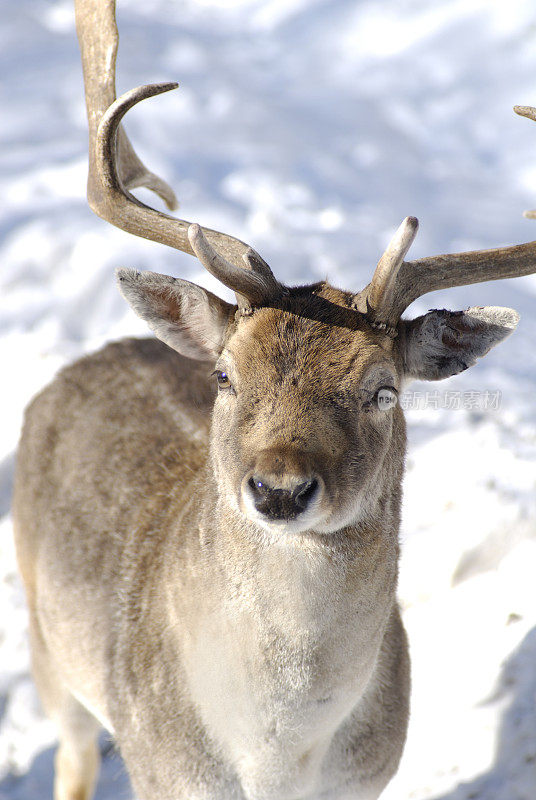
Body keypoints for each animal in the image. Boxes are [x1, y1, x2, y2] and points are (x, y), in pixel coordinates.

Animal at [11, 1, 536, 800]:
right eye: (225, 376)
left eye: (383, 389)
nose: (281, 489)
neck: (277, 761)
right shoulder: (165, 769)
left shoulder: (371, 775)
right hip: (48, 649)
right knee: (72, 759)